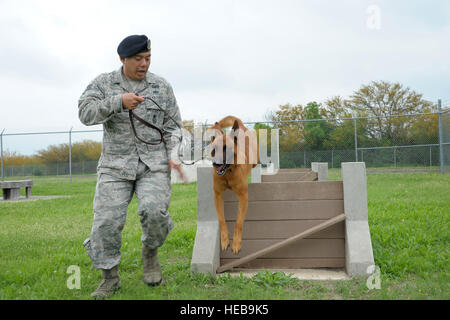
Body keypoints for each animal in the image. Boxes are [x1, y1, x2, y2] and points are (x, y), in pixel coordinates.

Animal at [208, 116, 258, 254]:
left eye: (226, 148)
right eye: (214, 150)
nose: (215, 164)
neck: (228, 172)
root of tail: (240, 125)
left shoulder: (243, 197)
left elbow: (238, 222)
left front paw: (236, 243)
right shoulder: (217, 196)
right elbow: (221, 220)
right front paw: (225, 240)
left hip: (255, 160)